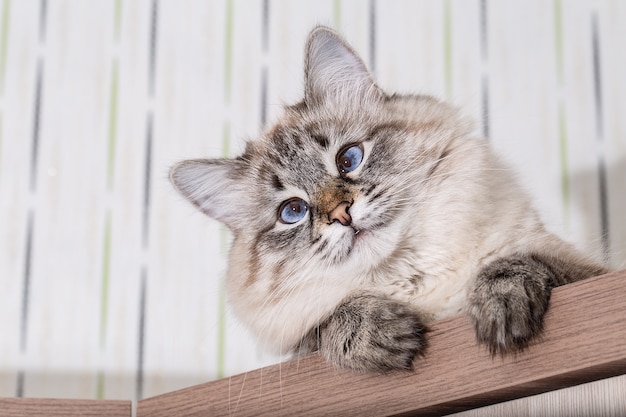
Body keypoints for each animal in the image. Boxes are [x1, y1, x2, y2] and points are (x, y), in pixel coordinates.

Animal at [168, 26, 608, 370]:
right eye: (293, 211)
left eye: (349, 159)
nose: (341, 214)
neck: (417, 281)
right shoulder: (299, 346)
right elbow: (326, 326)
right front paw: (381, 331)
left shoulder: (590, 273)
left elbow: (516, 263)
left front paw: (496, 307)